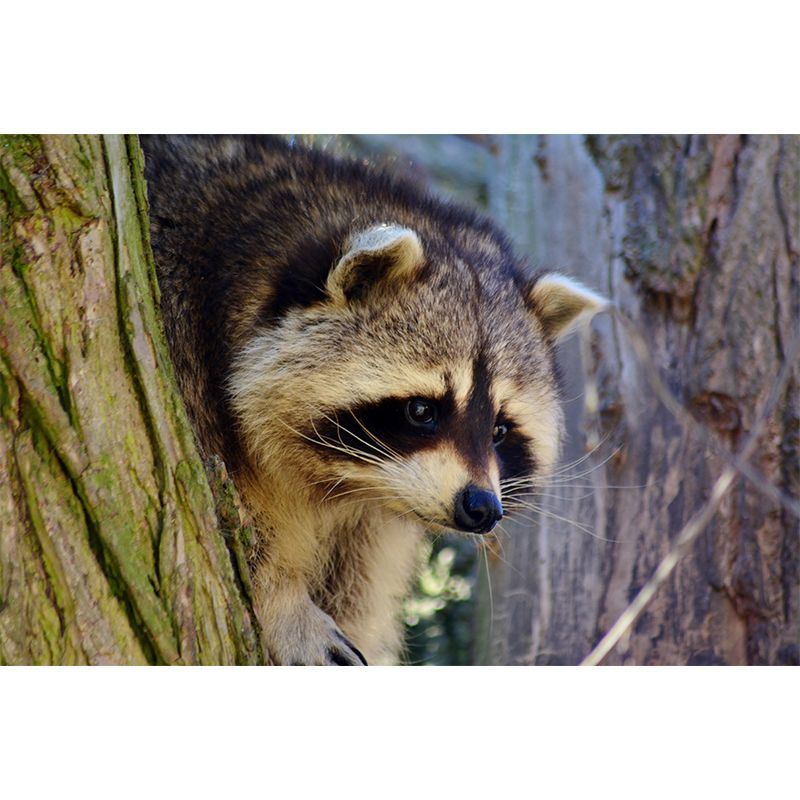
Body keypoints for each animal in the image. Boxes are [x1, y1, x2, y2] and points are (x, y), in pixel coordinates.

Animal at [140, 135, 606, 665]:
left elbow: (359, 578)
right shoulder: (182, 349)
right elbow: (227, 523)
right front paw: (282, 602)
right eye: (422, 410)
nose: (483, 508)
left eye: (499, 429)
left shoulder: (379, 510)